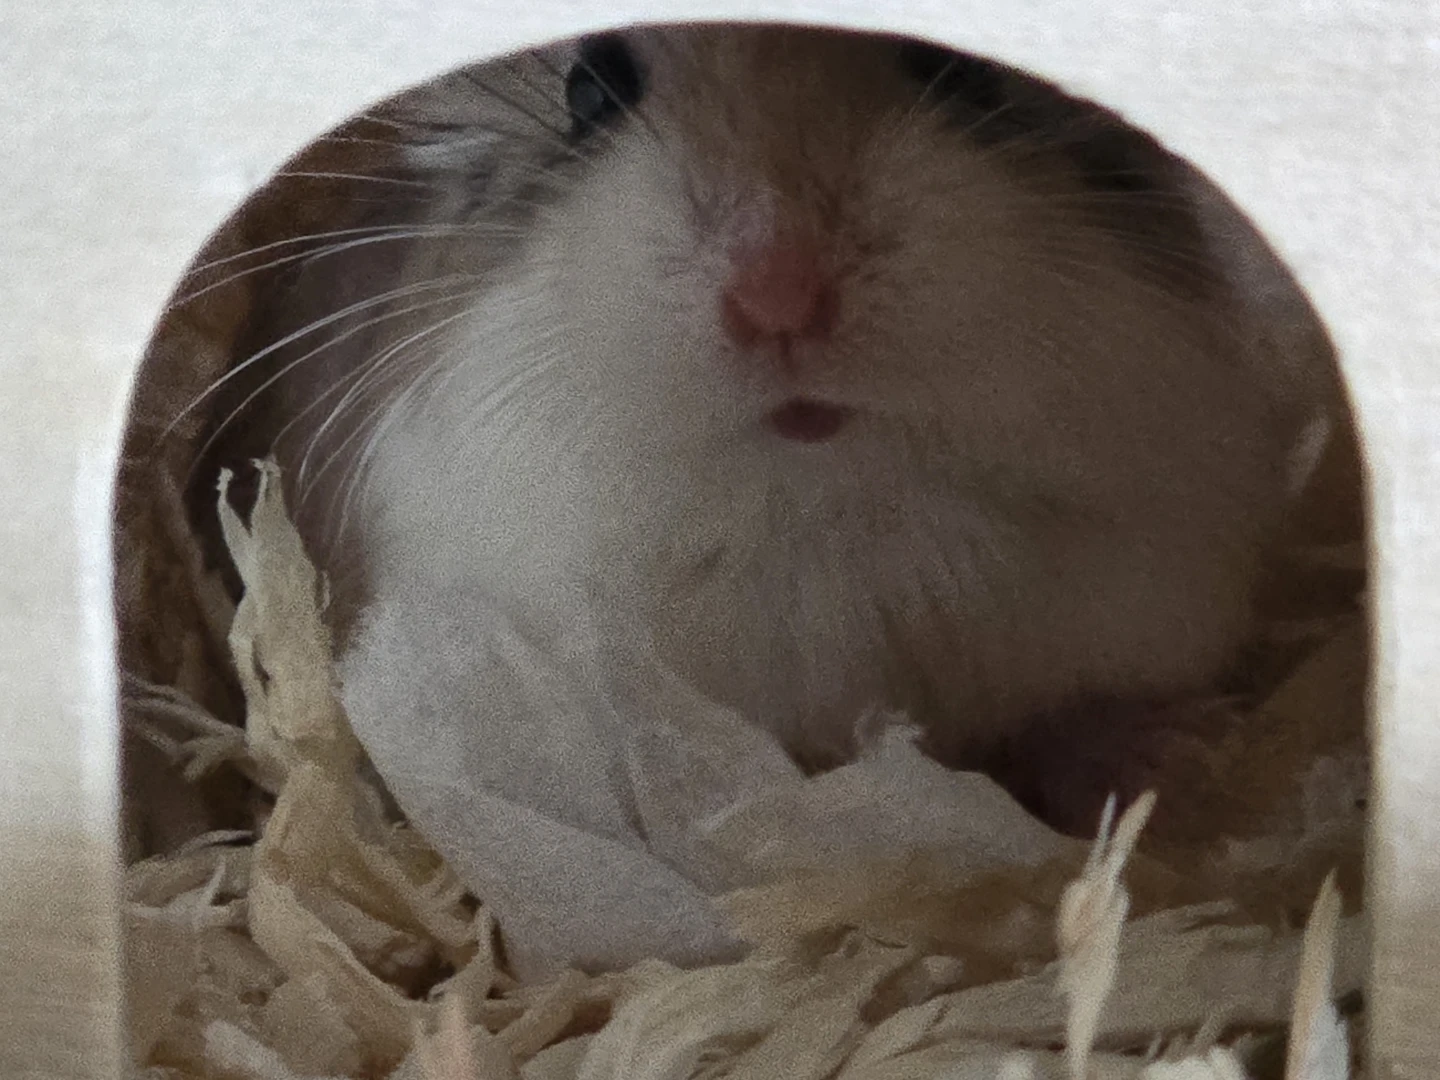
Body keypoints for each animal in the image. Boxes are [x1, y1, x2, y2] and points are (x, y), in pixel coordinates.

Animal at [222, 24, 1340, 975]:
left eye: (956, 66)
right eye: (590, 89)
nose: (780, 298)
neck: (821, 499)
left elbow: (1067, 715)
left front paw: (1182, 756)